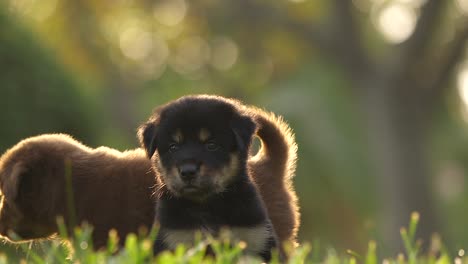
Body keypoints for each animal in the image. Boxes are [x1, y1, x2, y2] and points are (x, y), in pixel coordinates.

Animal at [137, 95, 280, 260]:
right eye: (173, 147)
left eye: (211, 145)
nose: (187, 171)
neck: (207, 205)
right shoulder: (174, 238)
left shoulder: (256, 236)